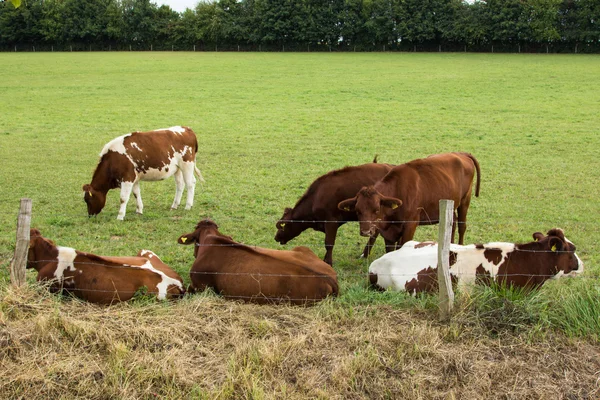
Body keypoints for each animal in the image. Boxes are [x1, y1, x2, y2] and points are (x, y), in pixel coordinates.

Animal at [340, 152, 480, 252]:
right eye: (357, 210)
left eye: (376, 210)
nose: (365, 232)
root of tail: (461, 154)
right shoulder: (388, 233)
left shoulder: (410, 225)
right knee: (453, 224)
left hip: (465, 201)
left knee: (462, 226)